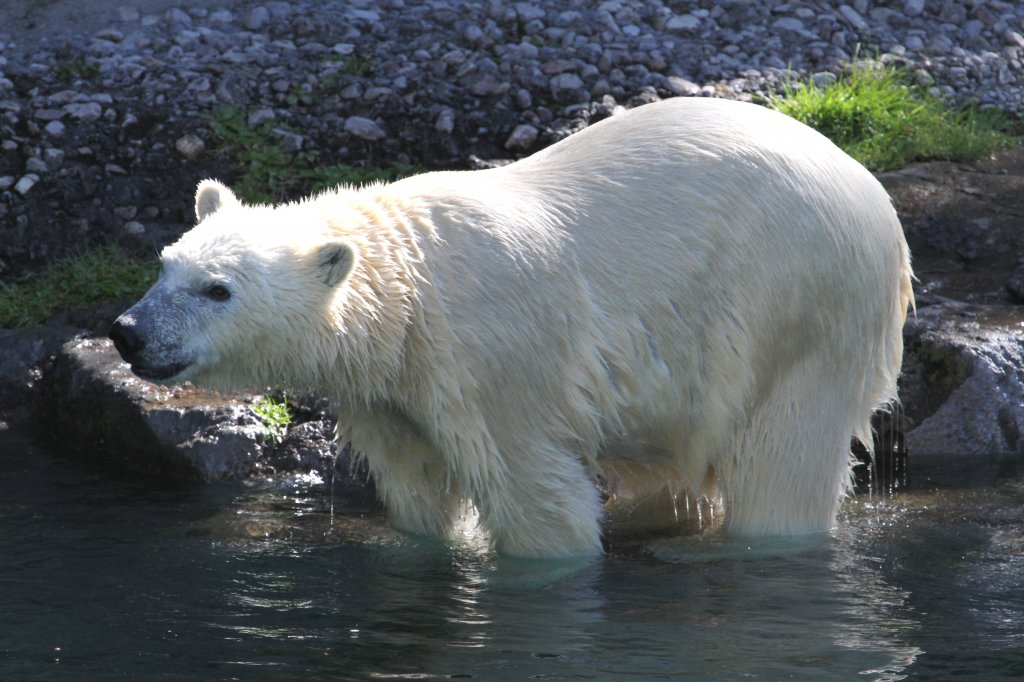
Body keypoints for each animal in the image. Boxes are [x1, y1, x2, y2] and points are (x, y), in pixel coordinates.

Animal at [112, 98, 913, 557]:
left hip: (793, 310)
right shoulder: (390, 388)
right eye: (165, 265)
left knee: (782, 463)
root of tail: (874, 199)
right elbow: (418, 491)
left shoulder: (496, 359)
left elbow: (538, 499)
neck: (408, 284)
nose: (128, 332)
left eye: (217, 290)